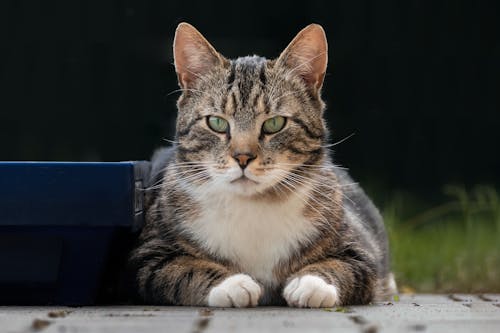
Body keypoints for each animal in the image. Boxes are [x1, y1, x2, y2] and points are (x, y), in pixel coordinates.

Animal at [130, 22, 398, 306]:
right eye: (216, 122)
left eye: (274, 123)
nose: (243, 157)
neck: (253, 206)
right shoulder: (148, 252)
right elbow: (182, 268)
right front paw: (231, 284)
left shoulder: (362, 251)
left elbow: (344, 266)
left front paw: (311, 283)